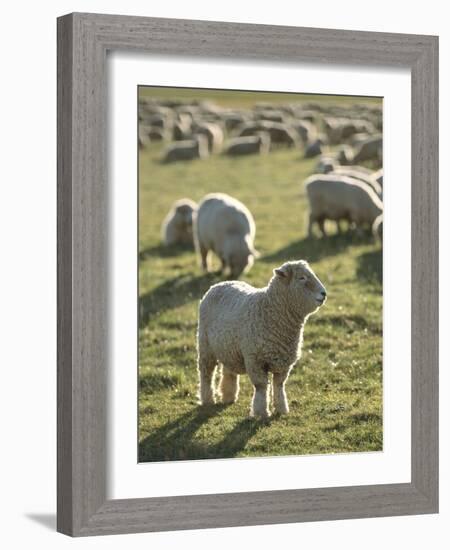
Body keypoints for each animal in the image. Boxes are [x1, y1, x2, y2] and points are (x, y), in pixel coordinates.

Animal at [197, 262, 326, 418]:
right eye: (301, 278)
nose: (324, 294)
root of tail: (219, 284)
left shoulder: (283, 362)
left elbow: (279, 385)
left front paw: (281, 409)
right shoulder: (255, 360)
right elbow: (261, 386)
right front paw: (261, 412)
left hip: (229, 347)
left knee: (228, 371)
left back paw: (228, 397)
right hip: (205, 346)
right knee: (206, 373)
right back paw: (208, 400)